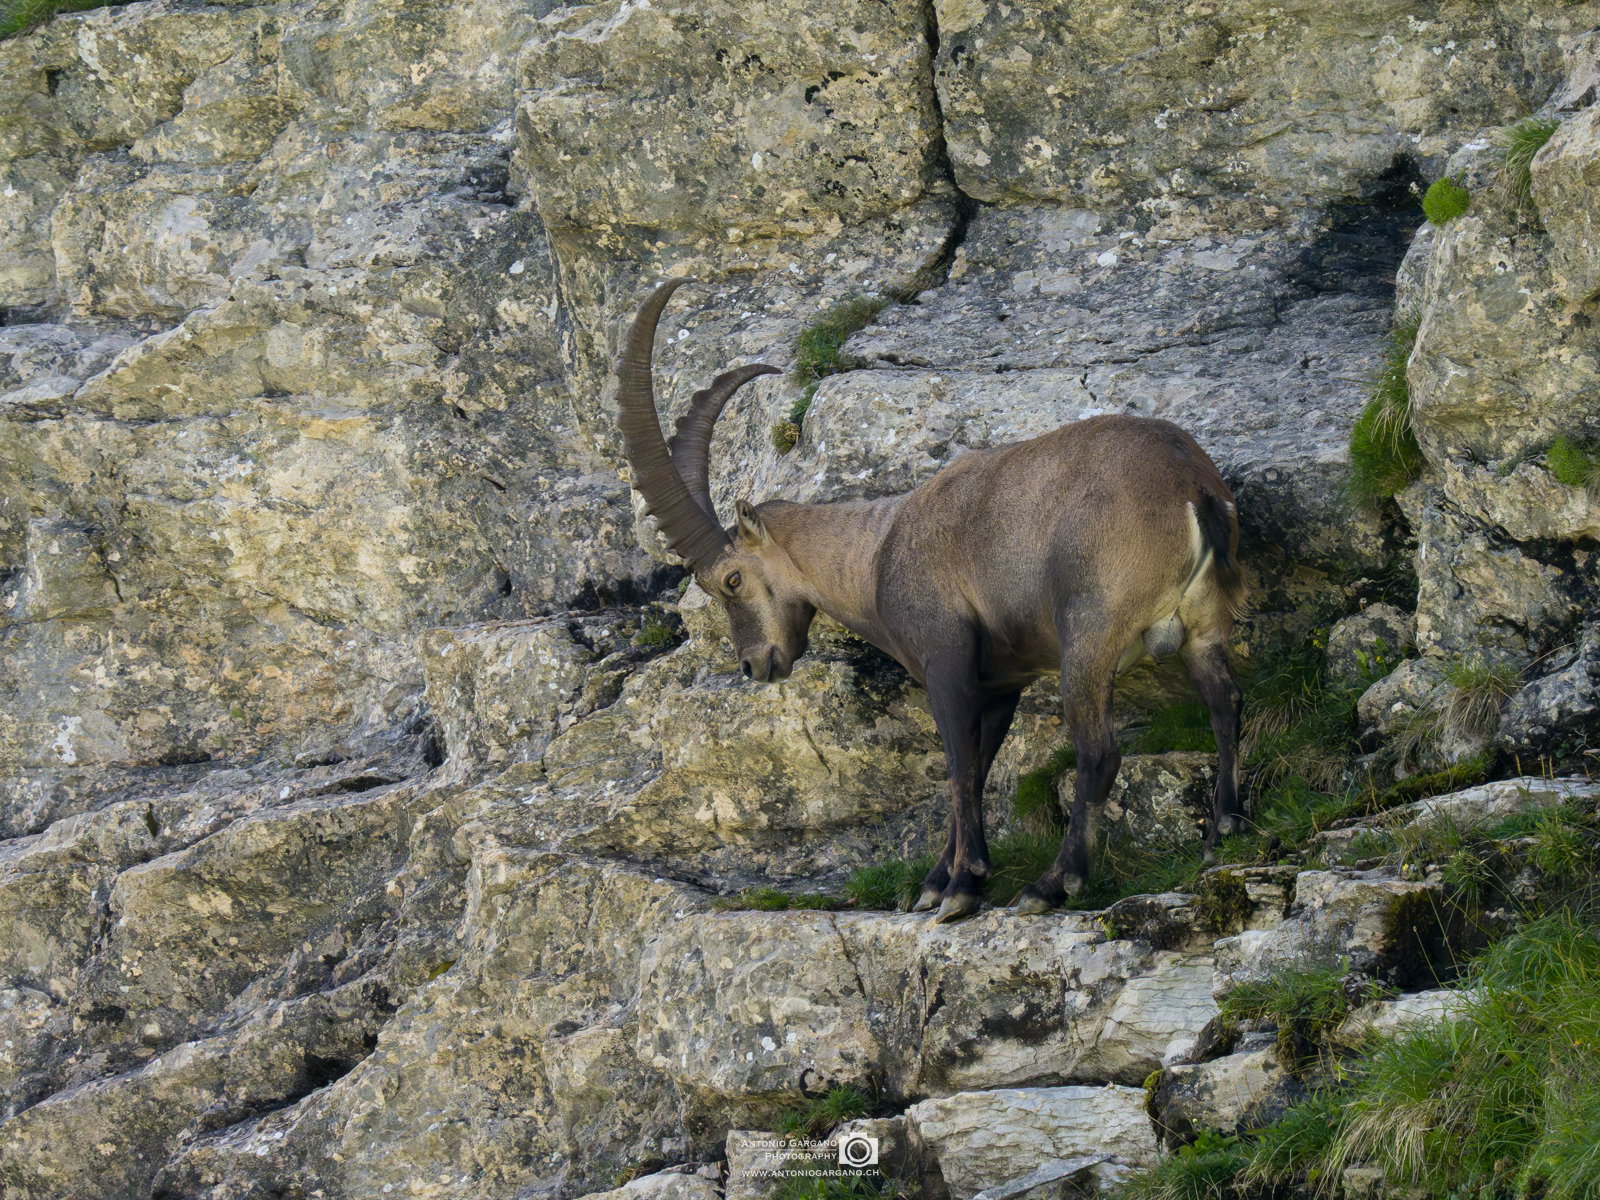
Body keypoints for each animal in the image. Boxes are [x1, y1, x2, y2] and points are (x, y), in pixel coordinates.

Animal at [615, 279, 1246, 922]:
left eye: (731, 580)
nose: (753, 665)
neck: (877, 553)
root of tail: (1191, 487)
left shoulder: (946, 661)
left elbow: (958, 767)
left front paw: (962, 885)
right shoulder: (1001, 682)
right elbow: (979, 767)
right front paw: (938, 879)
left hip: (1090, 634)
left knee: (1098, 754)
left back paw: (1053, 883)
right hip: (1205, 626)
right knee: (1226, 704)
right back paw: (1225, 828)